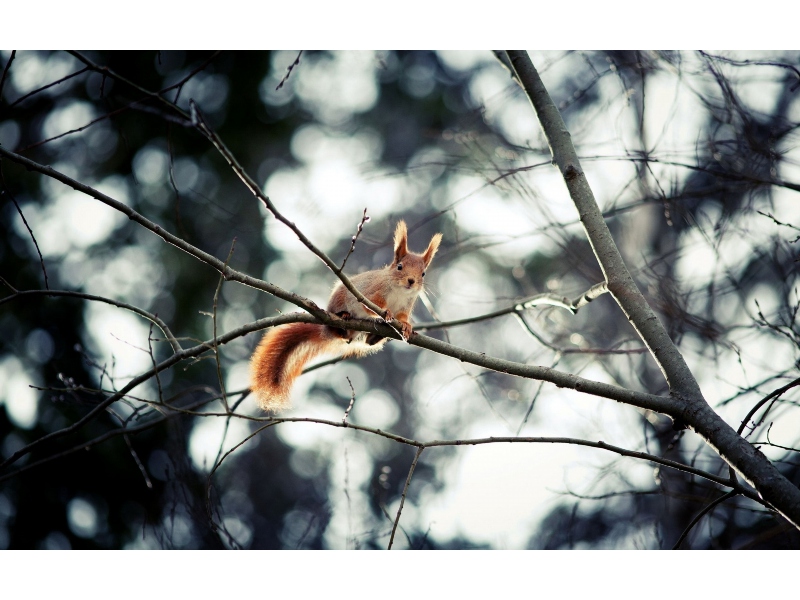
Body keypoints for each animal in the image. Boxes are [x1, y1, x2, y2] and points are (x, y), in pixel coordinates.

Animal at [252, 220, 444, 412]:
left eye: (423, 273)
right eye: (400, 267)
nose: (411, 281)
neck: (399, 291)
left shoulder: (406, 306)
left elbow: (403, 317)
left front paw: (407, 326)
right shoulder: (371, 294)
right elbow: (371, 306)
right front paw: (386, 313)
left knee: (366, 342)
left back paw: (374, 337)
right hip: (338, 303)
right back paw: (343, 317)